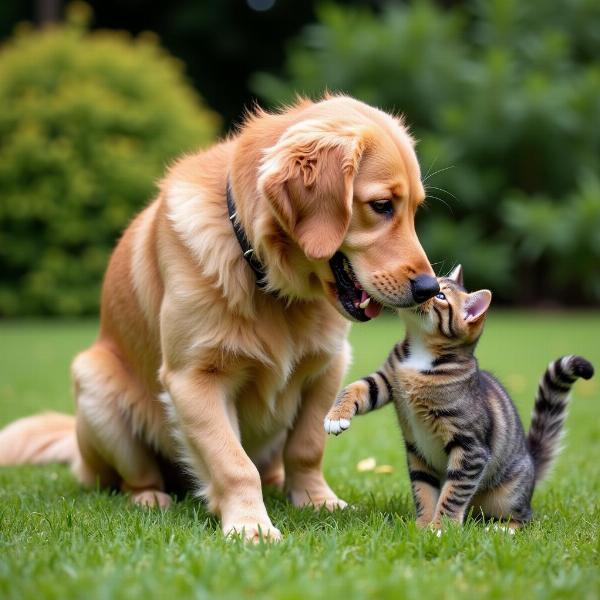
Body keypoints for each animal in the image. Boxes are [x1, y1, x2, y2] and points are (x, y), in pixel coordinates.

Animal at [1, 96, 440, 540]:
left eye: (415, 209)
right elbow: (233, 463)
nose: (428, 288)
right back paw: (150, 498)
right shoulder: (194, 379)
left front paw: (317, 501)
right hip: (95, 385)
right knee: (135, 476)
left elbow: (307, 448)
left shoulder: (327, 366)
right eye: (381, 206)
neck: (266, 278)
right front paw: (251, 526)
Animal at [328, 264, 596, 528]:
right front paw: (422, 527)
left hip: (508, 496)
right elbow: (358, 388)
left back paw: (503, 528)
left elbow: (453, 492)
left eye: (440, 296)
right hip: (418, 457)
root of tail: (531, 463)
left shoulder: (470, 448)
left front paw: (440, 529)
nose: (425, 287)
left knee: (525, 517)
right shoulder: (387, 379)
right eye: (434, 283)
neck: (421, 353)